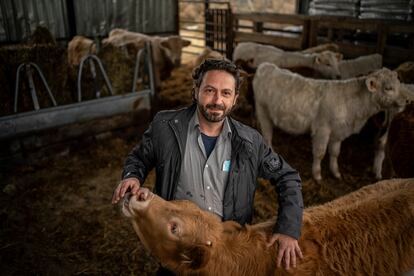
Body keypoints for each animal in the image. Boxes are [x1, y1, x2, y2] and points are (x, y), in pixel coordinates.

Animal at [252, 64, 414, 181]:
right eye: (388, 88)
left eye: (399, 83)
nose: (407, 100)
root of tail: (266, 66)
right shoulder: (322, 129)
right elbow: (320, 153)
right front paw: (317, 175)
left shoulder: (338, 132)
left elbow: (335, 153)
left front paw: (335, 172)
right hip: (262, 110)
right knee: (267, 134)